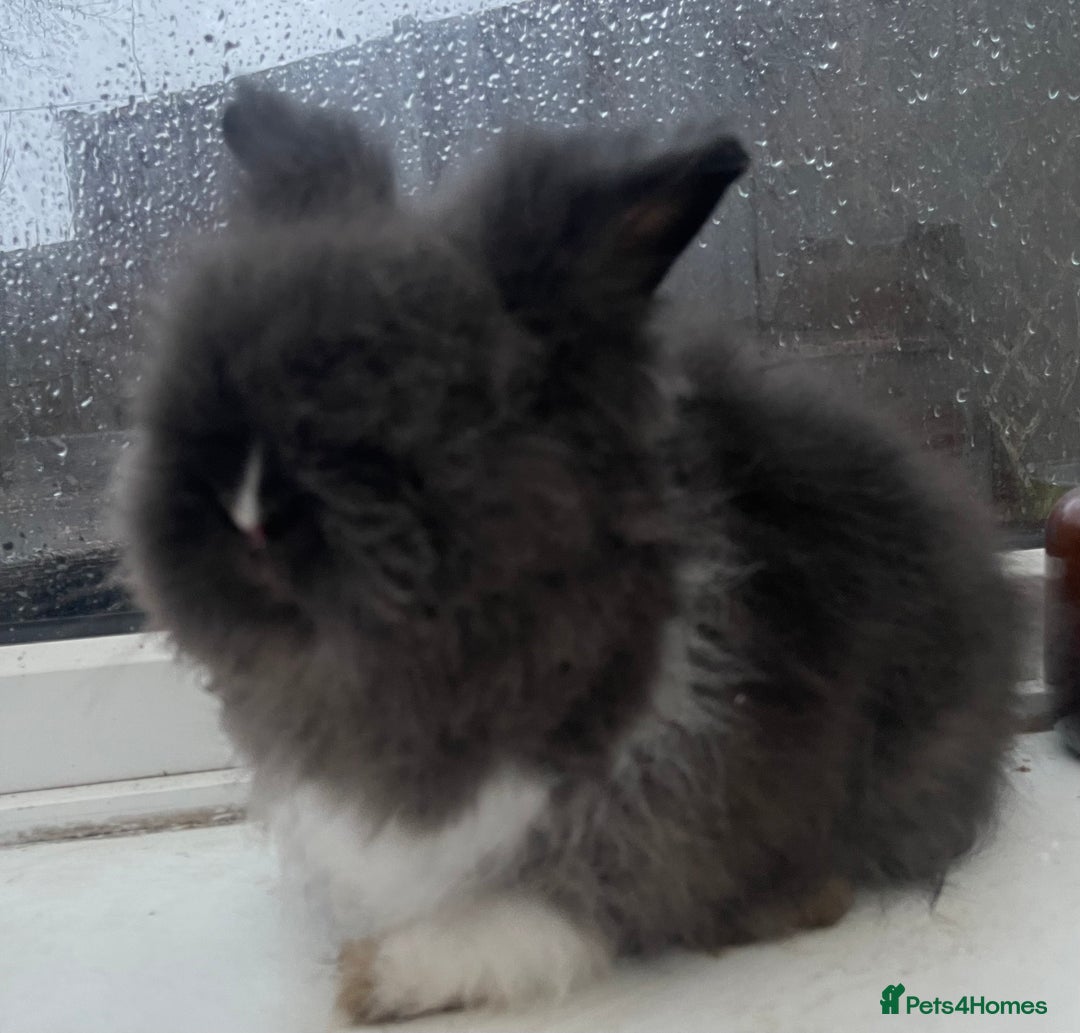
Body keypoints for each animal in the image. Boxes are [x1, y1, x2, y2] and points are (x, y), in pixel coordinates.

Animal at [120, 82, 1020, 1026]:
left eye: (439, 408)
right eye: (194, 398)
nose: (247, 514)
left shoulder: (665, 808)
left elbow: (555, 912)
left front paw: (382, 974)